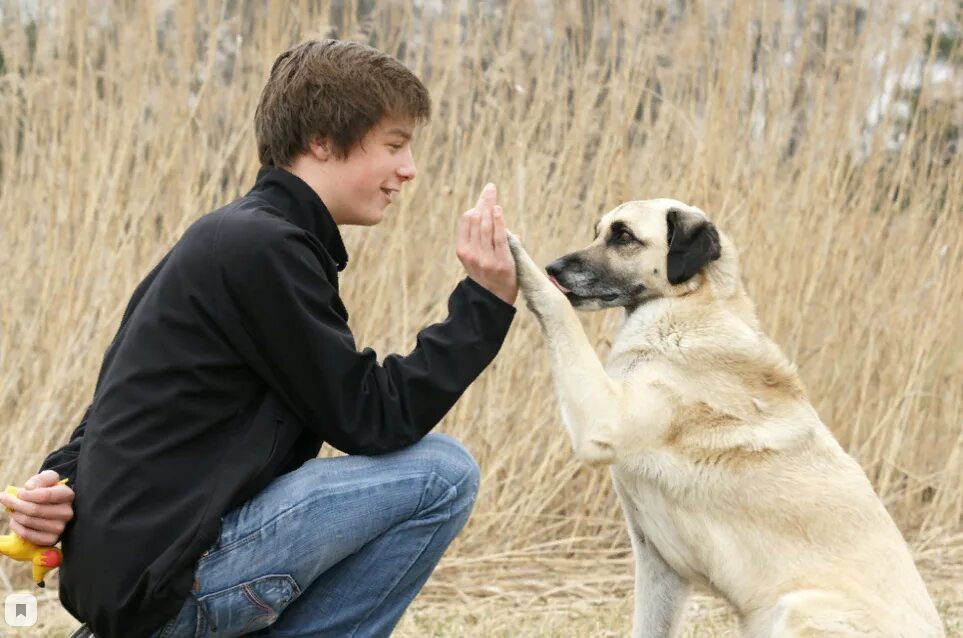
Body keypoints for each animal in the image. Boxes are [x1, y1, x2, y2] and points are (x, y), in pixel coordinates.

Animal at [508, 200, 944, 638]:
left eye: (624, 236)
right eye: (597, 232)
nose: (553, 266)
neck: (690, 303)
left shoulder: (602, 419)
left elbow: (558, 309)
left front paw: (514, 252)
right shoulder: (660, 568)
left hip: (795, 609)